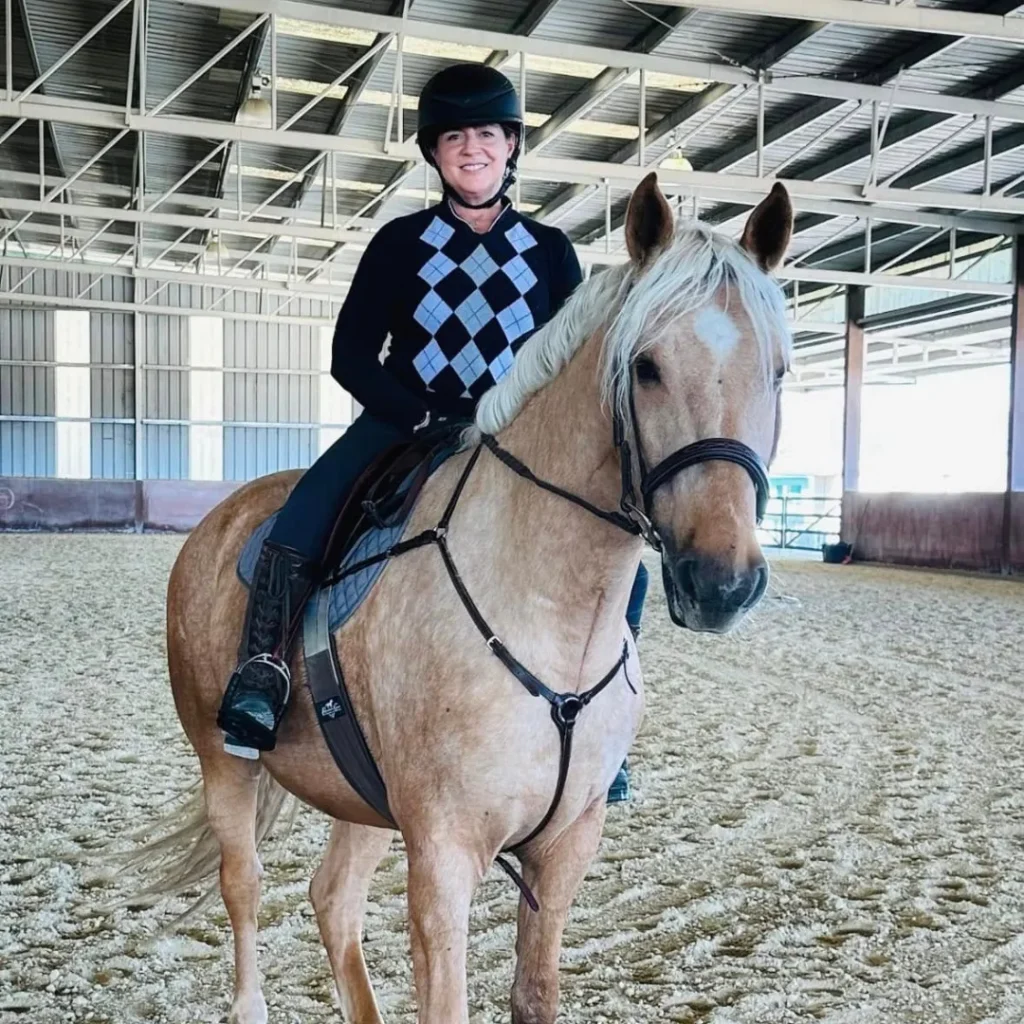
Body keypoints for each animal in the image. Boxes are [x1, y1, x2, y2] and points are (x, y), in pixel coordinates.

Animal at [151, 172, 793, 1024]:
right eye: (647, 366)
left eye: (778, 371)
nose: (722, 581)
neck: (552, 617)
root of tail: (217, 522)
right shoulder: (444, 851)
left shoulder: (565, 848)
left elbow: (535, 995)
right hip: (224, 758)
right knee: (245, 886)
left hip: (361, 800)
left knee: (332, 899)